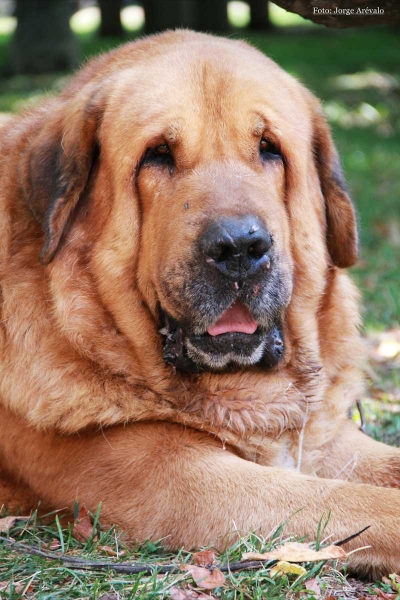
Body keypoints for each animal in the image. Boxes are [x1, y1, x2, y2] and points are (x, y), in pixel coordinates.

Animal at [0, 30, 400, 576]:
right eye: (157, 154)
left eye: (269, 149)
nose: (240, 248)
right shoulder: (175, 476)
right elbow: (358, 502)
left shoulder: (323, 439)